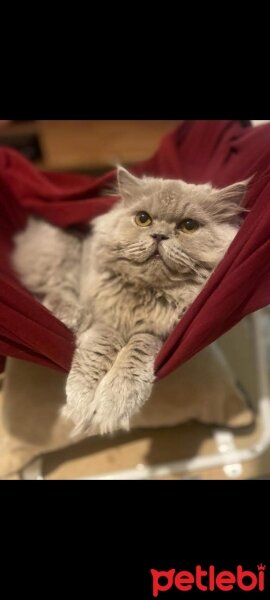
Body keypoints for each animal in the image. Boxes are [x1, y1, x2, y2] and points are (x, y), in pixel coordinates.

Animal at [12, 166, 247, 434]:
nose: (159, 235)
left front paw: (113, 405)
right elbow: (96, 353)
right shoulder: (105, 322)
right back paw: (72, 316)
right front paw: (81, 405)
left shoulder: (159, 333)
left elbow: (135, 356)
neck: (147, 293)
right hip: (60, 255)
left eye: (188, 226)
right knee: (55, 290)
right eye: (143, 219)